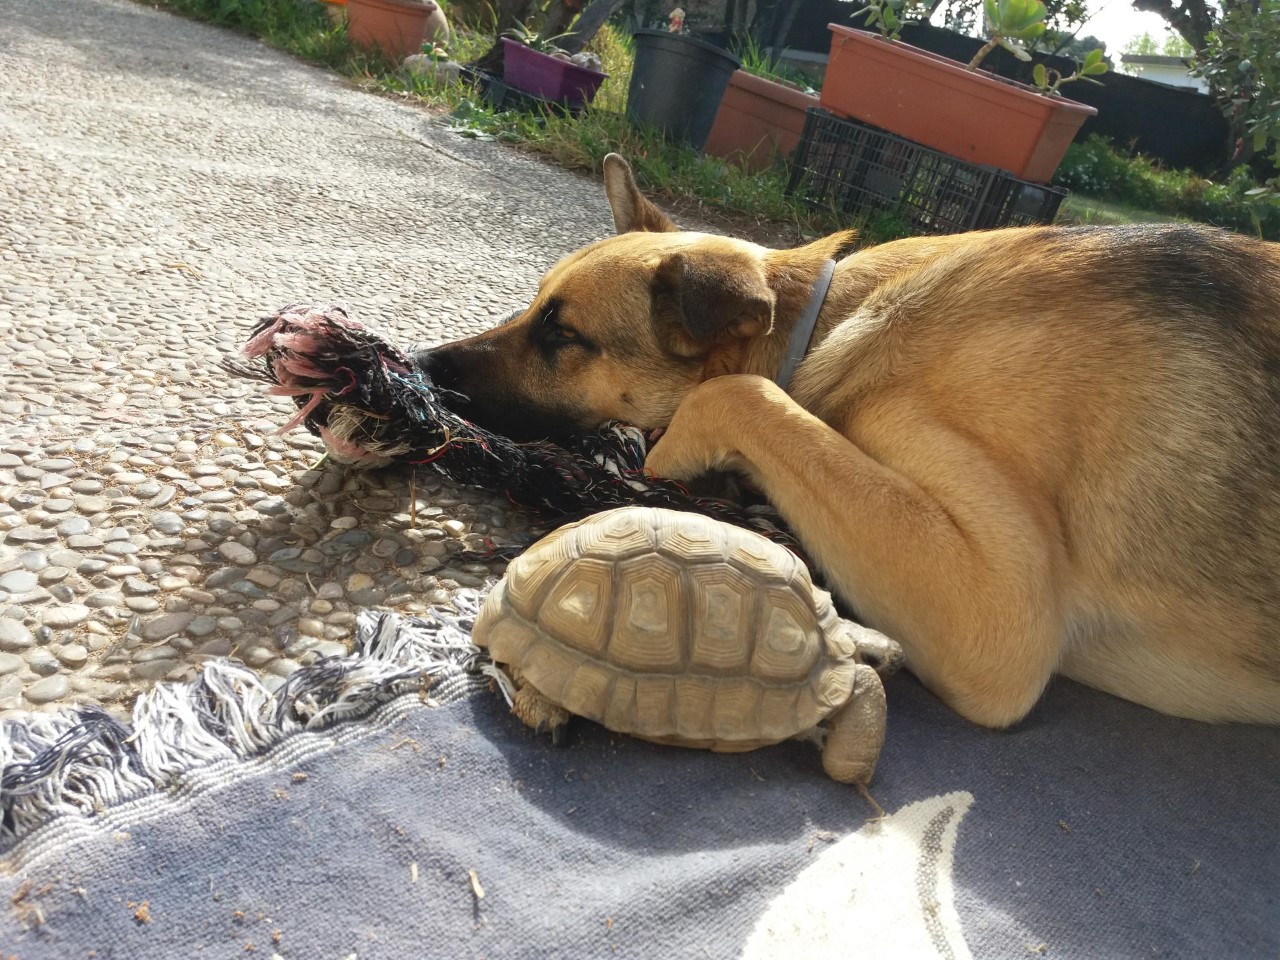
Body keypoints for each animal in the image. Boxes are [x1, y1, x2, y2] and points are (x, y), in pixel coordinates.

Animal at [422, 156, 1280, 727]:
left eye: (563, 334)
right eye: (535, 305)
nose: (423, 370)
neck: (822, 324)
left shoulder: (1001, 608)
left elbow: (734, 395)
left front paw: (655, 474)